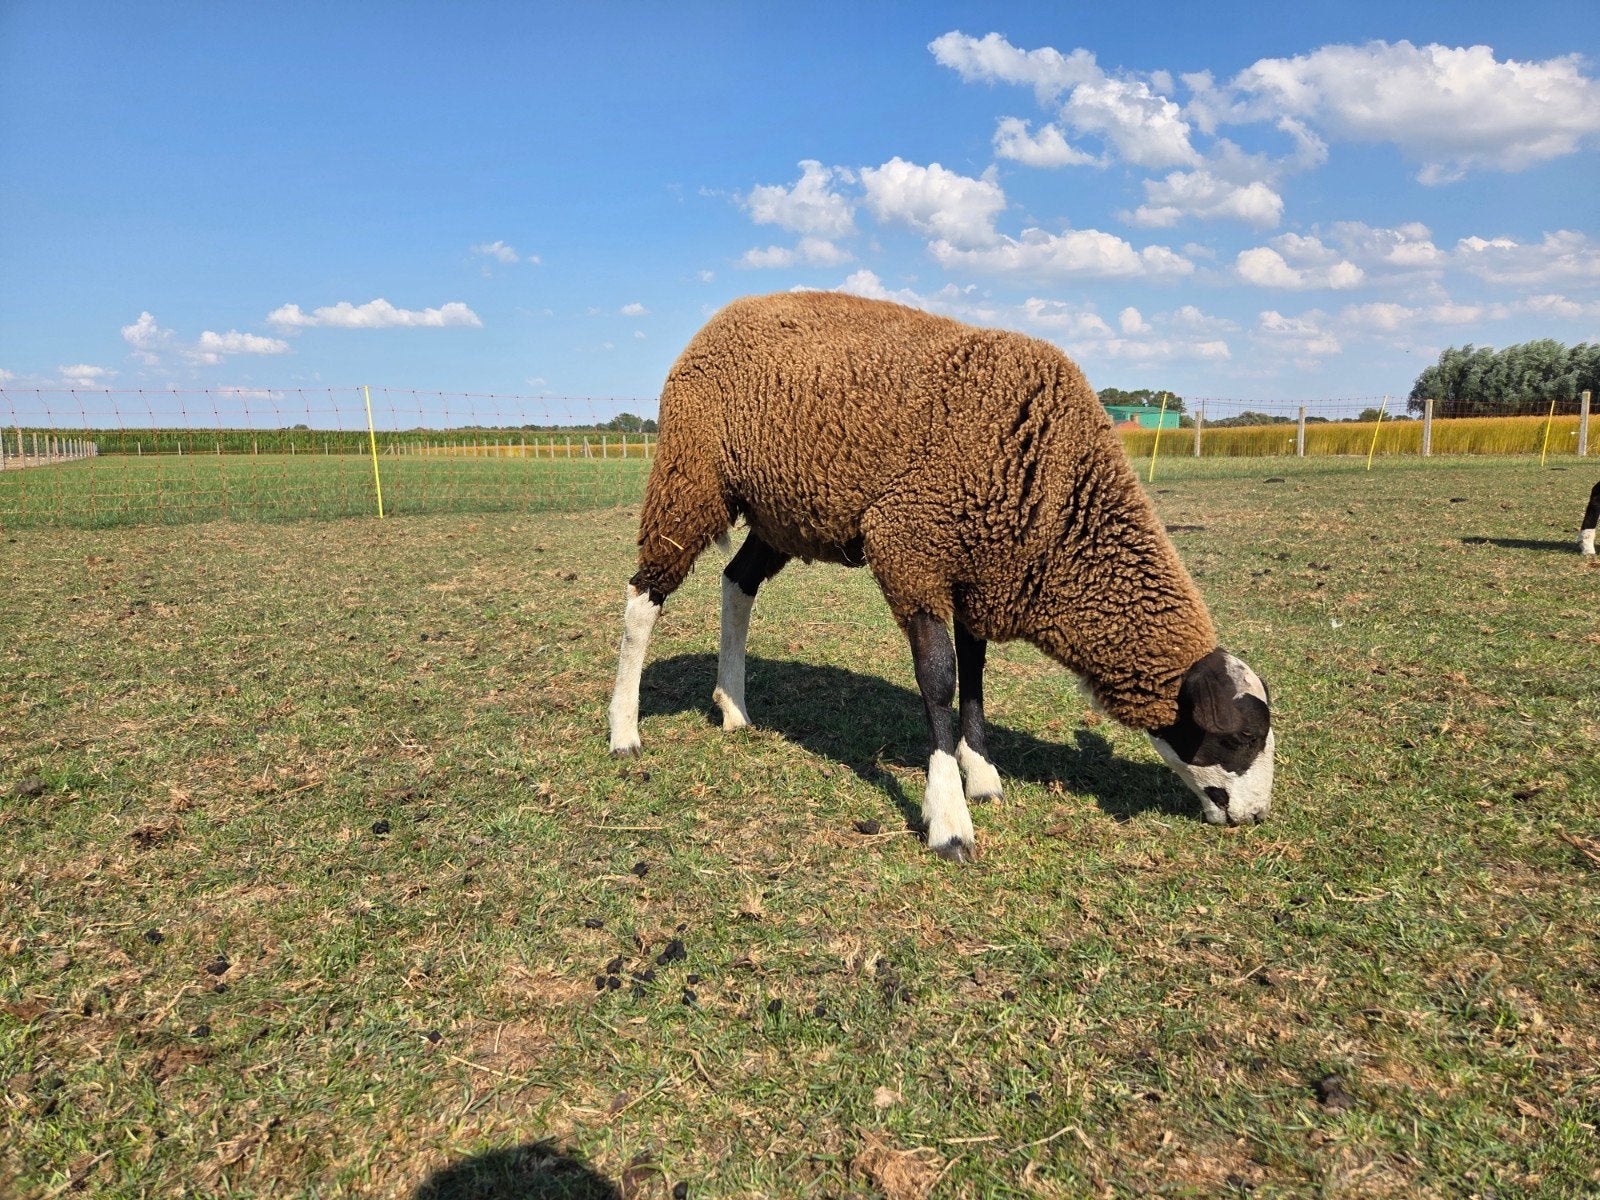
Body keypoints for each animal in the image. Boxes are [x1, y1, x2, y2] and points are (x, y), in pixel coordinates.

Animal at [607, 291, 1275, 860]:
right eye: (1241, 738)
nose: (1257, 817)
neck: (1061, 509)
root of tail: (722, 318)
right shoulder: (910, 546)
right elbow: (938, 678)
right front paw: (949, 817)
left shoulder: (980, 570)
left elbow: (974, 675)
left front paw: (980, 773)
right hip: (693, 474)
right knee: (645, 595)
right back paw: (624, 730)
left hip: (780, 513)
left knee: (736, 582)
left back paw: (735, 709)